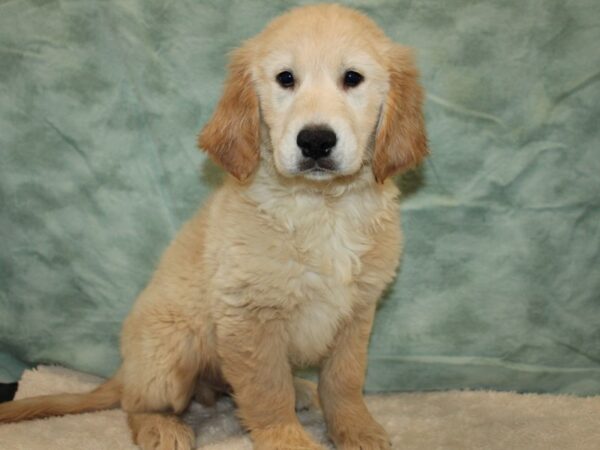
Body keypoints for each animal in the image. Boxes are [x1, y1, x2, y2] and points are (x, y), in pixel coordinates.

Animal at [0, 4, 426, 450]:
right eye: (285, 79)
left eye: (353, 78)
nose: (314, 141)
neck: (320, 207)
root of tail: (125, 371)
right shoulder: (250, 316)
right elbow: (267, 390)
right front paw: (287, 438)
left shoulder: (357, 312)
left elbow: (344, 380)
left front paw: (356, 428)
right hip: (172, 350)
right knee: (134, 404)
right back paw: (161, 427)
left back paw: (300, 391)